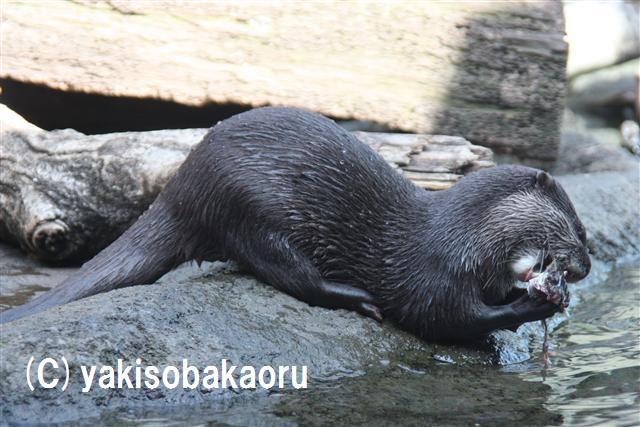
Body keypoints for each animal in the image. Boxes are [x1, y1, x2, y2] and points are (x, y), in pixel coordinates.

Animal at [0, 108, 592, 342]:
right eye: (580, 232)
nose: (584, 268)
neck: (463, 237)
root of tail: (185, 184)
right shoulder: (434, 276)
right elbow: (450, 318)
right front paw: (533, 306)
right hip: (253, 210)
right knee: (288, 274)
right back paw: (355, 297)